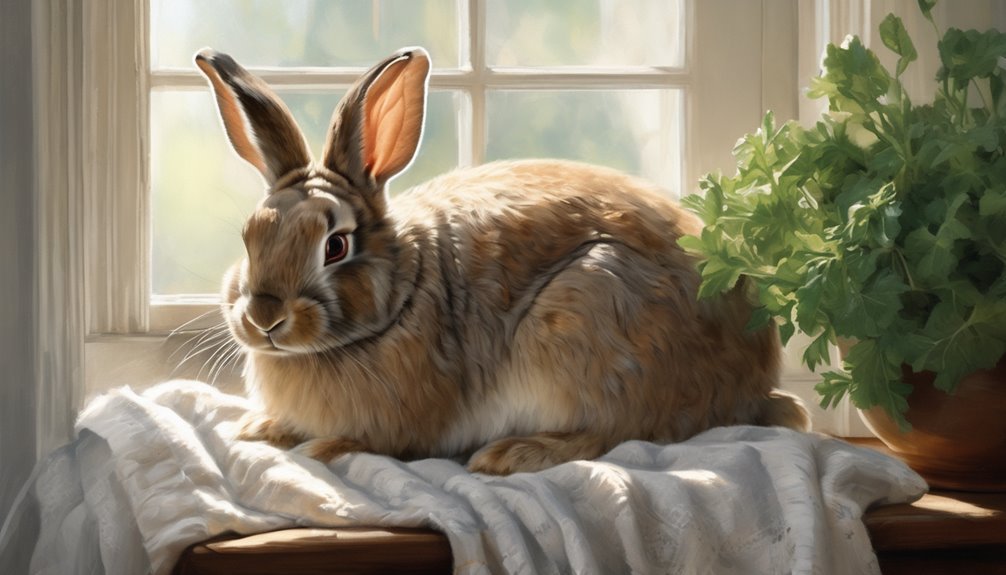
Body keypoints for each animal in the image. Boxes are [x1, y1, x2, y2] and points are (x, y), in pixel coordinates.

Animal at [194, 46, 810, 475]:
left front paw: (322, 444)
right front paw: (260, 427)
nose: (264, 316)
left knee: (618, 433)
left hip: (589, 313)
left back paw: (511, 454)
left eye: (335, 246)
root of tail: (753, 381)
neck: (400, 297)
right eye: (250, 236)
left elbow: (380, 440)